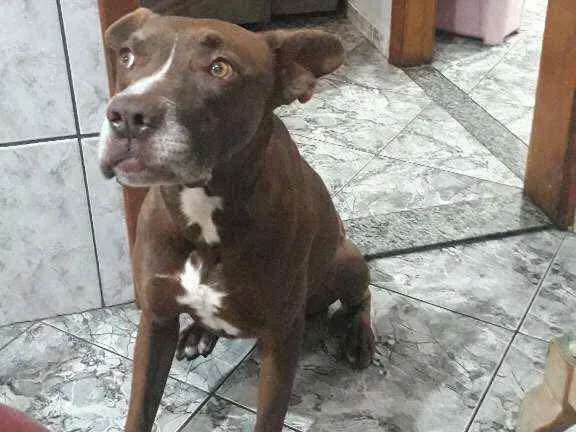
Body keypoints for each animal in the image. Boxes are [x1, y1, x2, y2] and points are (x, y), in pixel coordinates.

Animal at [98, 8, 375, 431]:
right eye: (128, 56)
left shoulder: (281, 337)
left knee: (361, 298)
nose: (127, 115)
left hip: (346, 261)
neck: (203, 213)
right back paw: (198, 333)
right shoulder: (156, 320)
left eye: (220, 68)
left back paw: (357, 337)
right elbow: (140, 410)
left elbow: (269, 418)